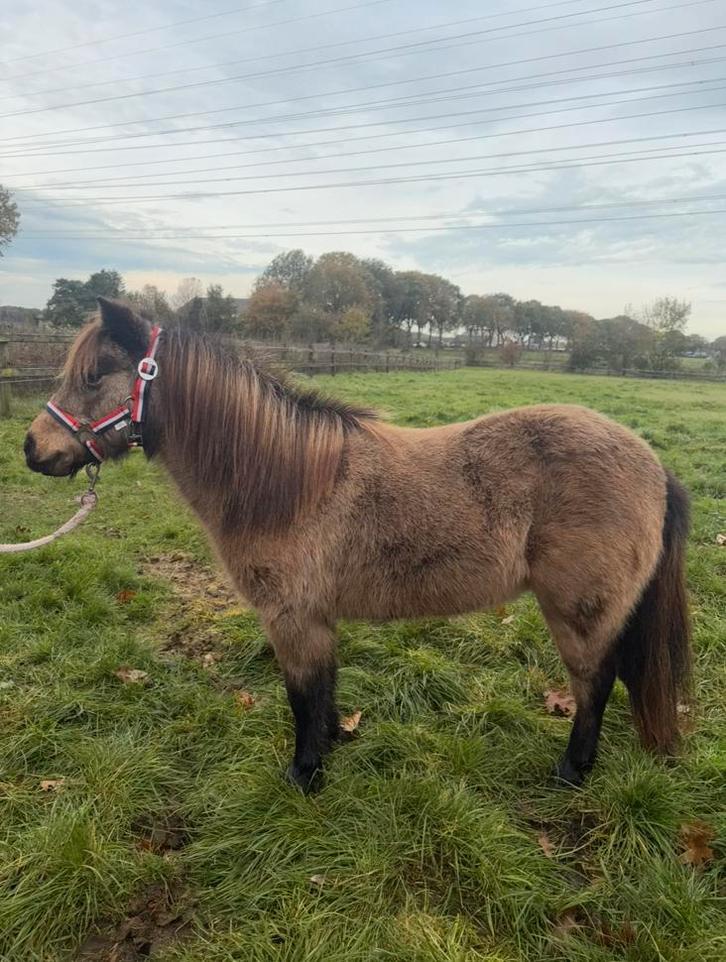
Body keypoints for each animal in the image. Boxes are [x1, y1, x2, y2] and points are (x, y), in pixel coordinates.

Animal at [24, 298, 691, 793]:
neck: (287, 482)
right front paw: (332, 745)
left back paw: (572, 772)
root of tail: (656, 468)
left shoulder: (291, 619)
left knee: (594, 683)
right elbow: (323, 693)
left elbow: (301, 696)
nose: (32, 448)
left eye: (94, 375)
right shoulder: (316, 618)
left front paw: (303, 775)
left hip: (578, 613)